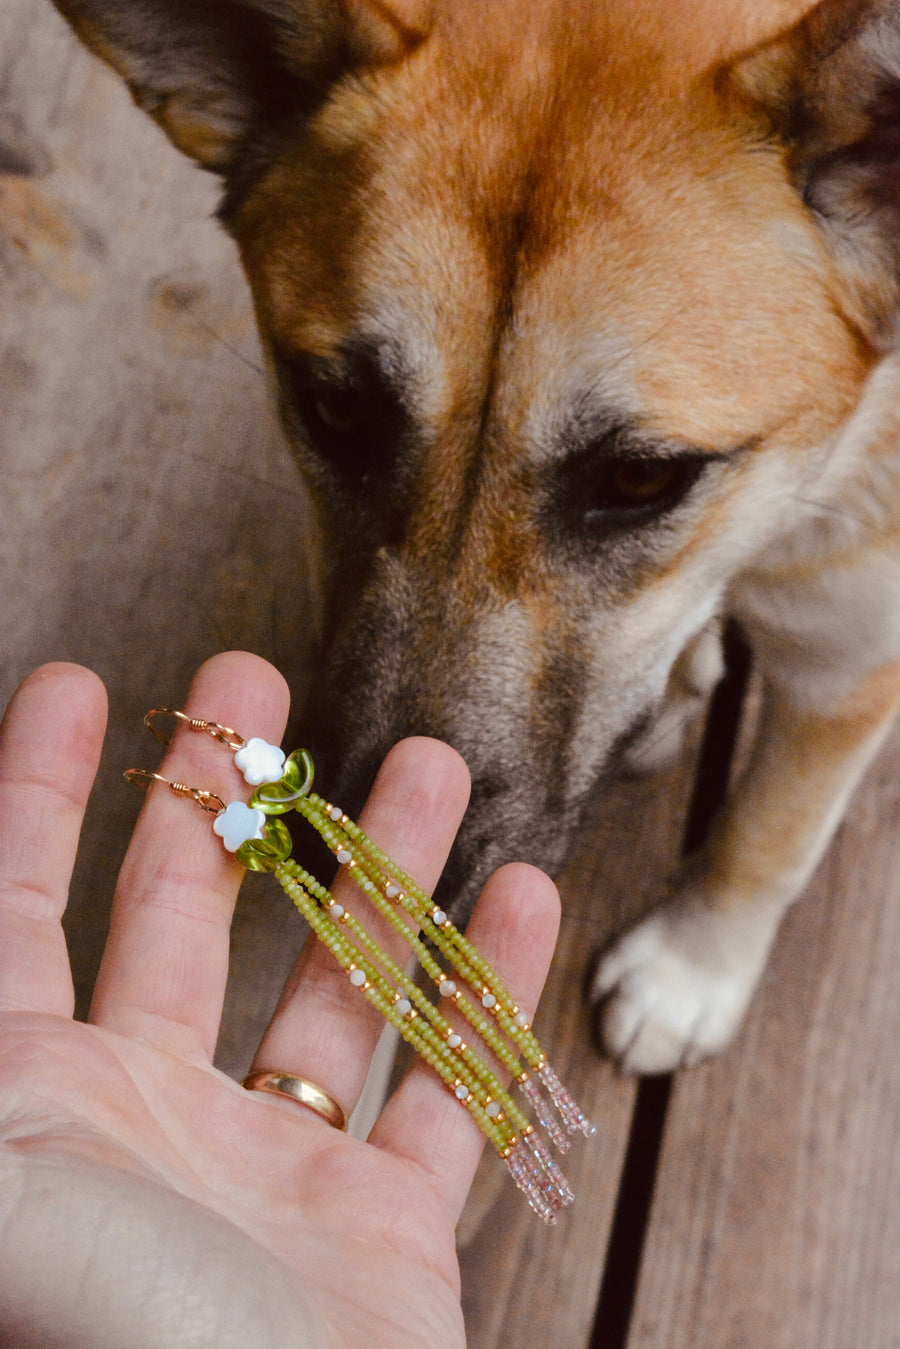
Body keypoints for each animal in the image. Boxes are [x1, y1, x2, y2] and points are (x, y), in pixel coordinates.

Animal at [50, 0, 900, 1073]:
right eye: (335, 409)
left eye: (642, 477)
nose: (351, 870)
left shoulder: (851, 663)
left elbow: (769, 835)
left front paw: (690, 970)